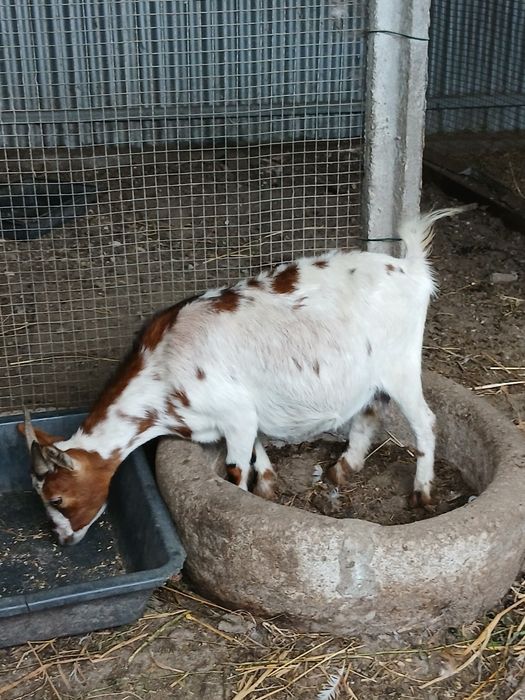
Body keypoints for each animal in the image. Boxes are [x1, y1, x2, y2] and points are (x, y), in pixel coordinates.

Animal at [19, 207, 465, 545]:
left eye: (58, 499)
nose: (62, 539)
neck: (161, 369)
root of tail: (408, 266)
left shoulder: (233, 412)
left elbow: (237, 469)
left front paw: (243, 501)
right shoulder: (240, 415)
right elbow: (255, 447)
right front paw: (268, 484)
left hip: (400, 363)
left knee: (424, 421)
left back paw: (422, 492)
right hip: (371, 373)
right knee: (370, 410)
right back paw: (343, 467)